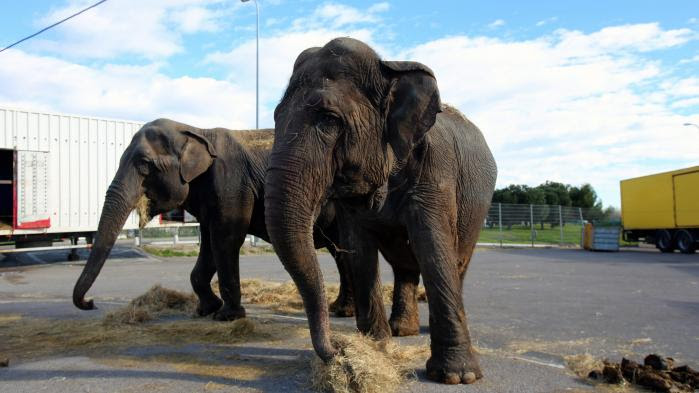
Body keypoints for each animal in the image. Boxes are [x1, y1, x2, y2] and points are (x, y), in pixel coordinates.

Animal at [70, 118, 358, 318]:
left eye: (144, 164)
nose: (90, 303)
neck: (195, 130)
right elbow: (208, 243)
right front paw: (206, 310)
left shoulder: (232, 185)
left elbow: (225, 240)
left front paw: (227, 316)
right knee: (342, 253)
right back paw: (341, 310)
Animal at [264, 39, 498, 382]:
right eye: (276, 117)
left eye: (329, 119)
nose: (337, 348)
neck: (390, 69)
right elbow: (358, 250)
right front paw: (377, 348)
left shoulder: (436, 171)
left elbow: (433, 246)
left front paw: (457, 377)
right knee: (405, 267)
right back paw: (402, 330)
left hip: (477, 210)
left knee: (456, 261)